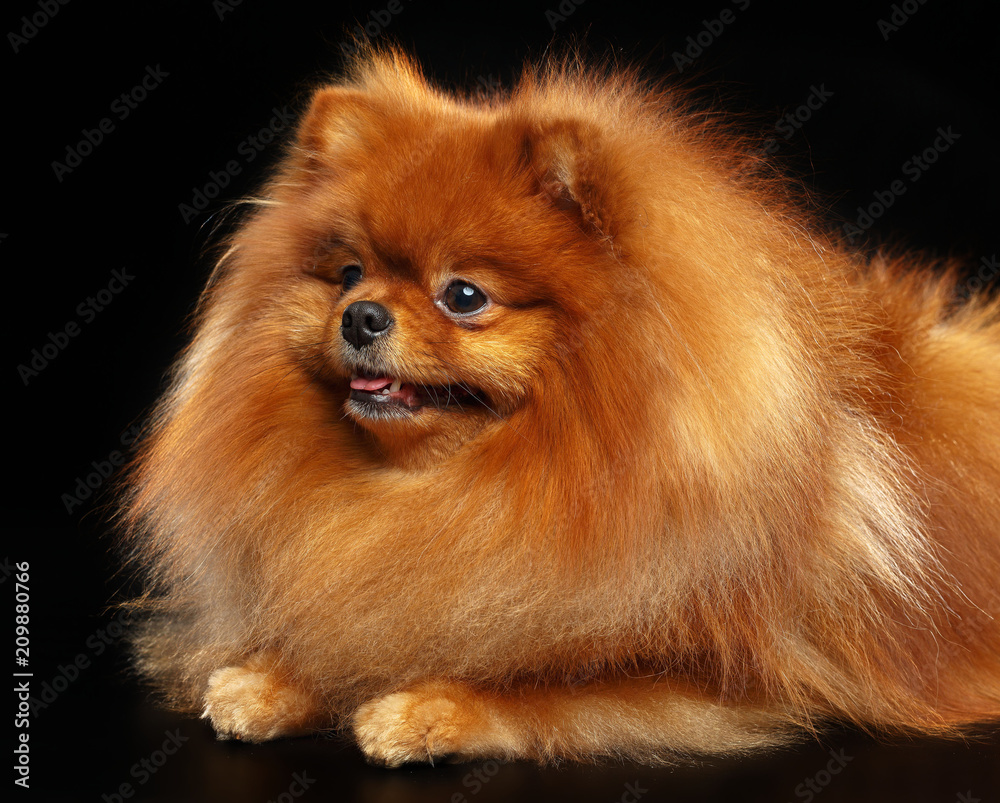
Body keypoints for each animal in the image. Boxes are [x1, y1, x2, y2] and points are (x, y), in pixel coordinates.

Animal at [123, 45, 1000, 768]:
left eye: (464, 295)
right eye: (347, 274)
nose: (361, 315)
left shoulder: (723, 674)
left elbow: (547, 684)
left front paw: (429, 707)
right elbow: (356, 628)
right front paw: (275, 678)